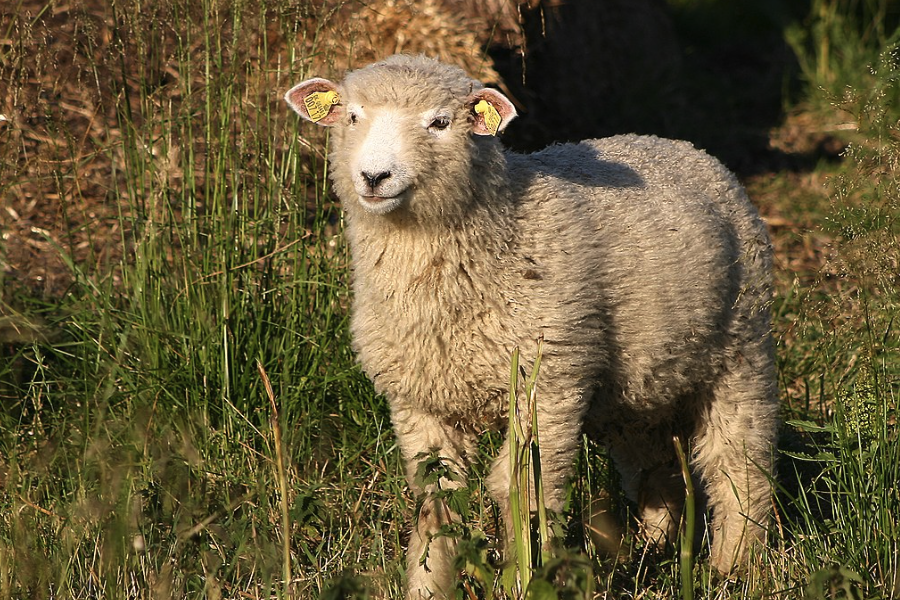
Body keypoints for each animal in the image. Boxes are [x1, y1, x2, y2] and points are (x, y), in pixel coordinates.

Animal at [284, 54, 776, 596]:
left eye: (440, 123)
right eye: (352, 116)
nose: (374, 176)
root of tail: (678, 145)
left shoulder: (547, 384)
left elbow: (521, 489)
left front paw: (526, 577)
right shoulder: (419, 401)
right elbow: (437, 499)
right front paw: (428, 585)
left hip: (741, 346)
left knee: (738, 462)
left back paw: (736, 563)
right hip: (635, 385)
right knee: (655, 463)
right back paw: (654, 547)